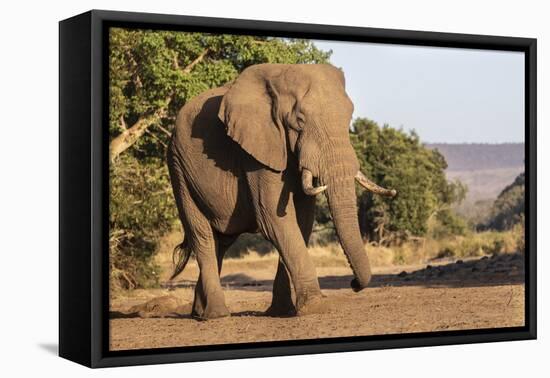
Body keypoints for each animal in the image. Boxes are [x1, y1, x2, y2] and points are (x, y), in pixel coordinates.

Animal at [167, 63, 396, 320]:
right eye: (299, 120)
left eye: (349, 118)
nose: (354, 284)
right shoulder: (256, 151)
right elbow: (274, 219)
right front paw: (316, 308)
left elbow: (303, 220)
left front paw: (282, 312)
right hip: (178, 168)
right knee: (203, 236)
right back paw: (216, 315)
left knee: (221, 242)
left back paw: (199, 313)